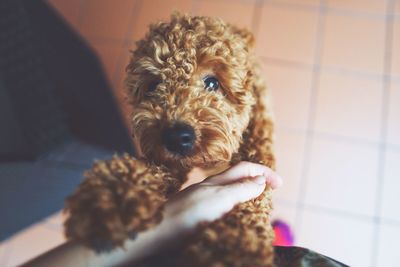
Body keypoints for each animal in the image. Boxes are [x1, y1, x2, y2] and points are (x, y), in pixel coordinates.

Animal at [65, 13, 276, 267]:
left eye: (213, 83)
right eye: (153, 85)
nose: (176, 137)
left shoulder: (257, 150)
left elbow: (252, 199)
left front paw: (234, 246)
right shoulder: (163, 158)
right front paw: (111, 198)